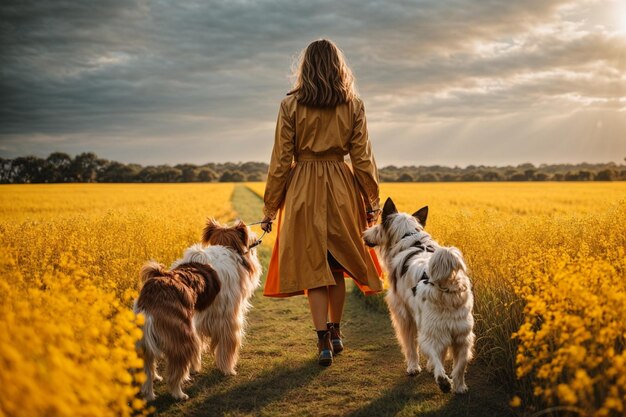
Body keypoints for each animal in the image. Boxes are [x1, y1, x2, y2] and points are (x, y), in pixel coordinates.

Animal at [135, 218, 262, 400]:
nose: (257, 237)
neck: (227, 248)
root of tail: (152, 295)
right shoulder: (229, 320)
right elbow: (227, 349)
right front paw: (228, 370)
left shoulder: (198, 320)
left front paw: (195, 368)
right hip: (182, 338)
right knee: (174, 373)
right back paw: (179, 394)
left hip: (146, 343)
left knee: (147, 371)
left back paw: (150, 392)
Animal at [360, 198, 472, 394]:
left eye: (378, 225)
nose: (363, 233)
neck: (410, 238)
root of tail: (447, 283)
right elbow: (443, 354)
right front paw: (431, 368)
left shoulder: (403, 314)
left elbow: (410, 345)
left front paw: (414, 368)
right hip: (462, 334)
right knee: (460, 364)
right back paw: (459, 387)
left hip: (431, 331)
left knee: (431, 350)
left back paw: (442, 380)